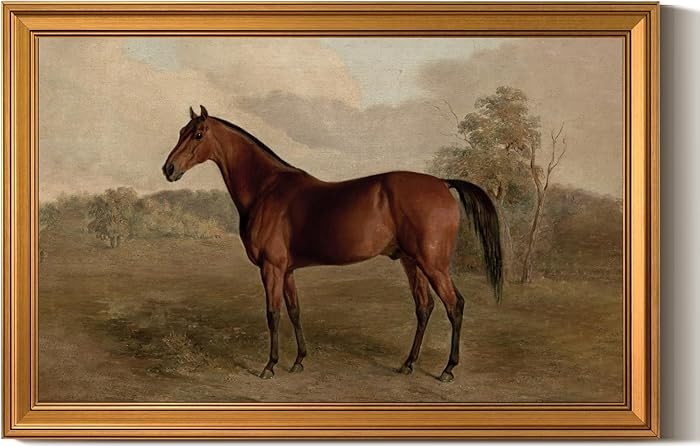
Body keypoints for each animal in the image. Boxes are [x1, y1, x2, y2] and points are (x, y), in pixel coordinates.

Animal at [162, 105, 502, 382]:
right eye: (180, 132)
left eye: (198, 134)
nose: (169, 169)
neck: (266, 189)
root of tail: (442, 183)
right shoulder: (286, 270)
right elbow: (294, 310)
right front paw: (298, 361)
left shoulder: (271, 268)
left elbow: (273, 314)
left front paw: (270, 366)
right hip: (412, 262)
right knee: (424, 307)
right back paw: (408, 364)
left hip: (434, 264)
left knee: (454, 306)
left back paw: (448, 369)